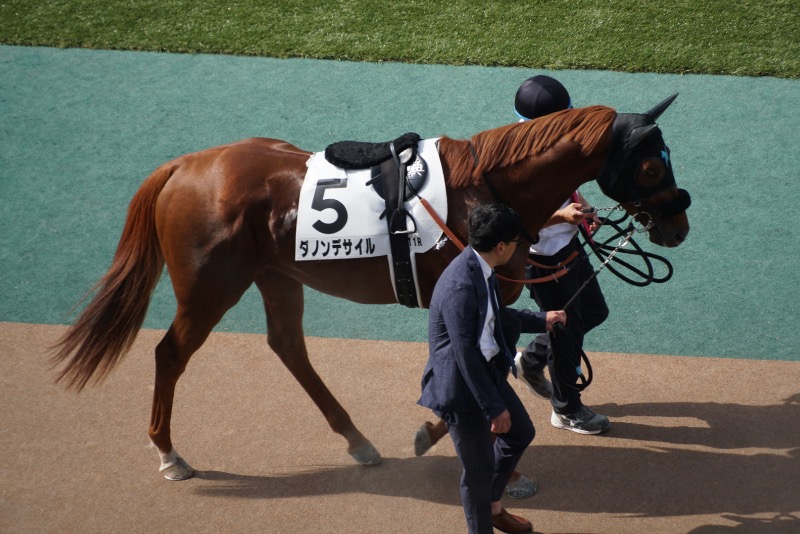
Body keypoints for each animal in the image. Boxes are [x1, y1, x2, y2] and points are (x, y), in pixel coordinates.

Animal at [51, 95, 688, 482]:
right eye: (652, 166)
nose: (679, 223)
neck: (487, 187)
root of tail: (183, 166)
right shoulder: (469, 295)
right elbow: (474, 366)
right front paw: (437, 434)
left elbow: (495, 361)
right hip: (211, 289)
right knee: (170, 353)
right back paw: (169, 453)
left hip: (278, 277)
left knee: (288, 348)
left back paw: (356, 439)